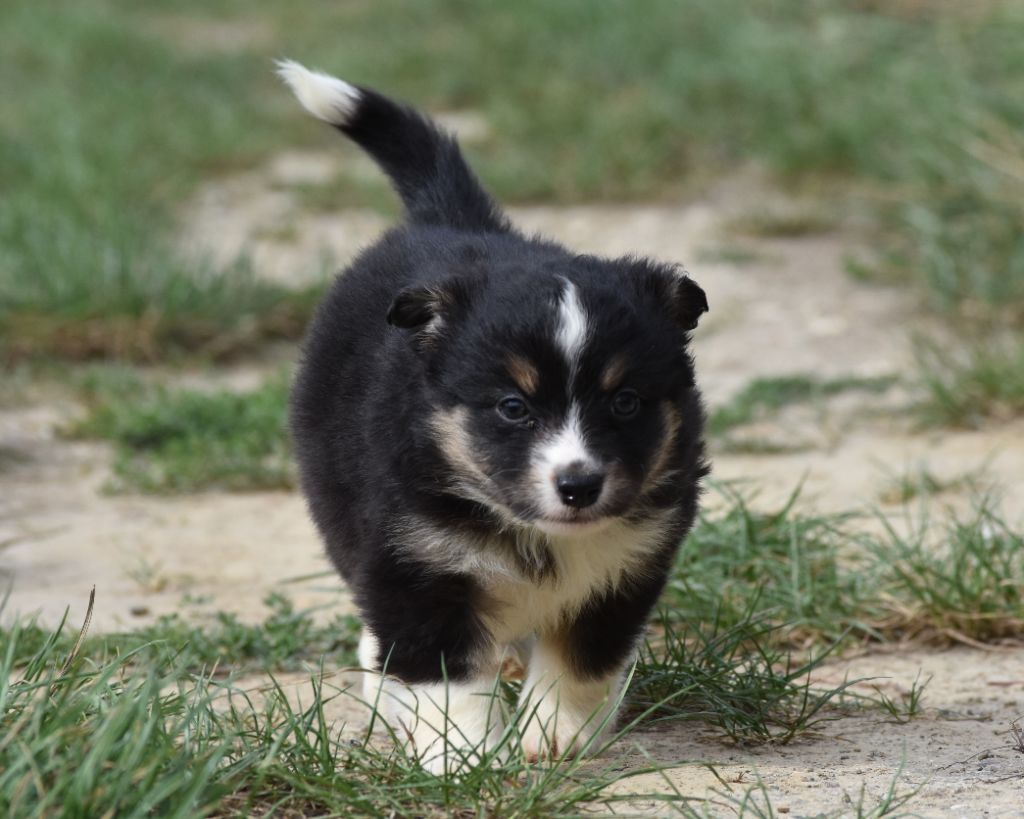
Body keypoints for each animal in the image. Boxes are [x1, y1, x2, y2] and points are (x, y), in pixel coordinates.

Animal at [278, 60, 709, 773]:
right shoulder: (418, 564)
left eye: (624, 402)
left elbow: (582, 660)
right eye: (513, 407)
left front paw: (554, 734)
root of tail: (453, 221)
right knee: (378, 634)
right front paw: (464, 759)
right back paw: (388, 704)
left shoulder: (627, 567)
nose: (579, 485)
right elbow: (444, 671)